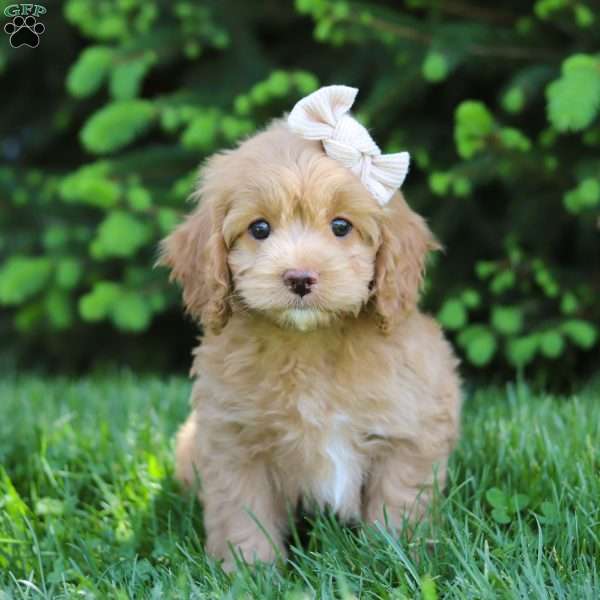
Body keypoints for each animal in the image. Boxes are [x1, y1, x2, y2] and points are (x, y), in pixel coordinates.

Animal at [162, 90, 462, 572]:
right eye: (259, 228)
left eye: (341, 226)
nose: (300, 277)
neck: (311, 344)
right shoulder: (234, 444)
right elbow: (243, 515)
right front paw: (248, 573)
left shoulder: (407, 436)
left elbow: (396, 506)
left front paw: (395, 563)